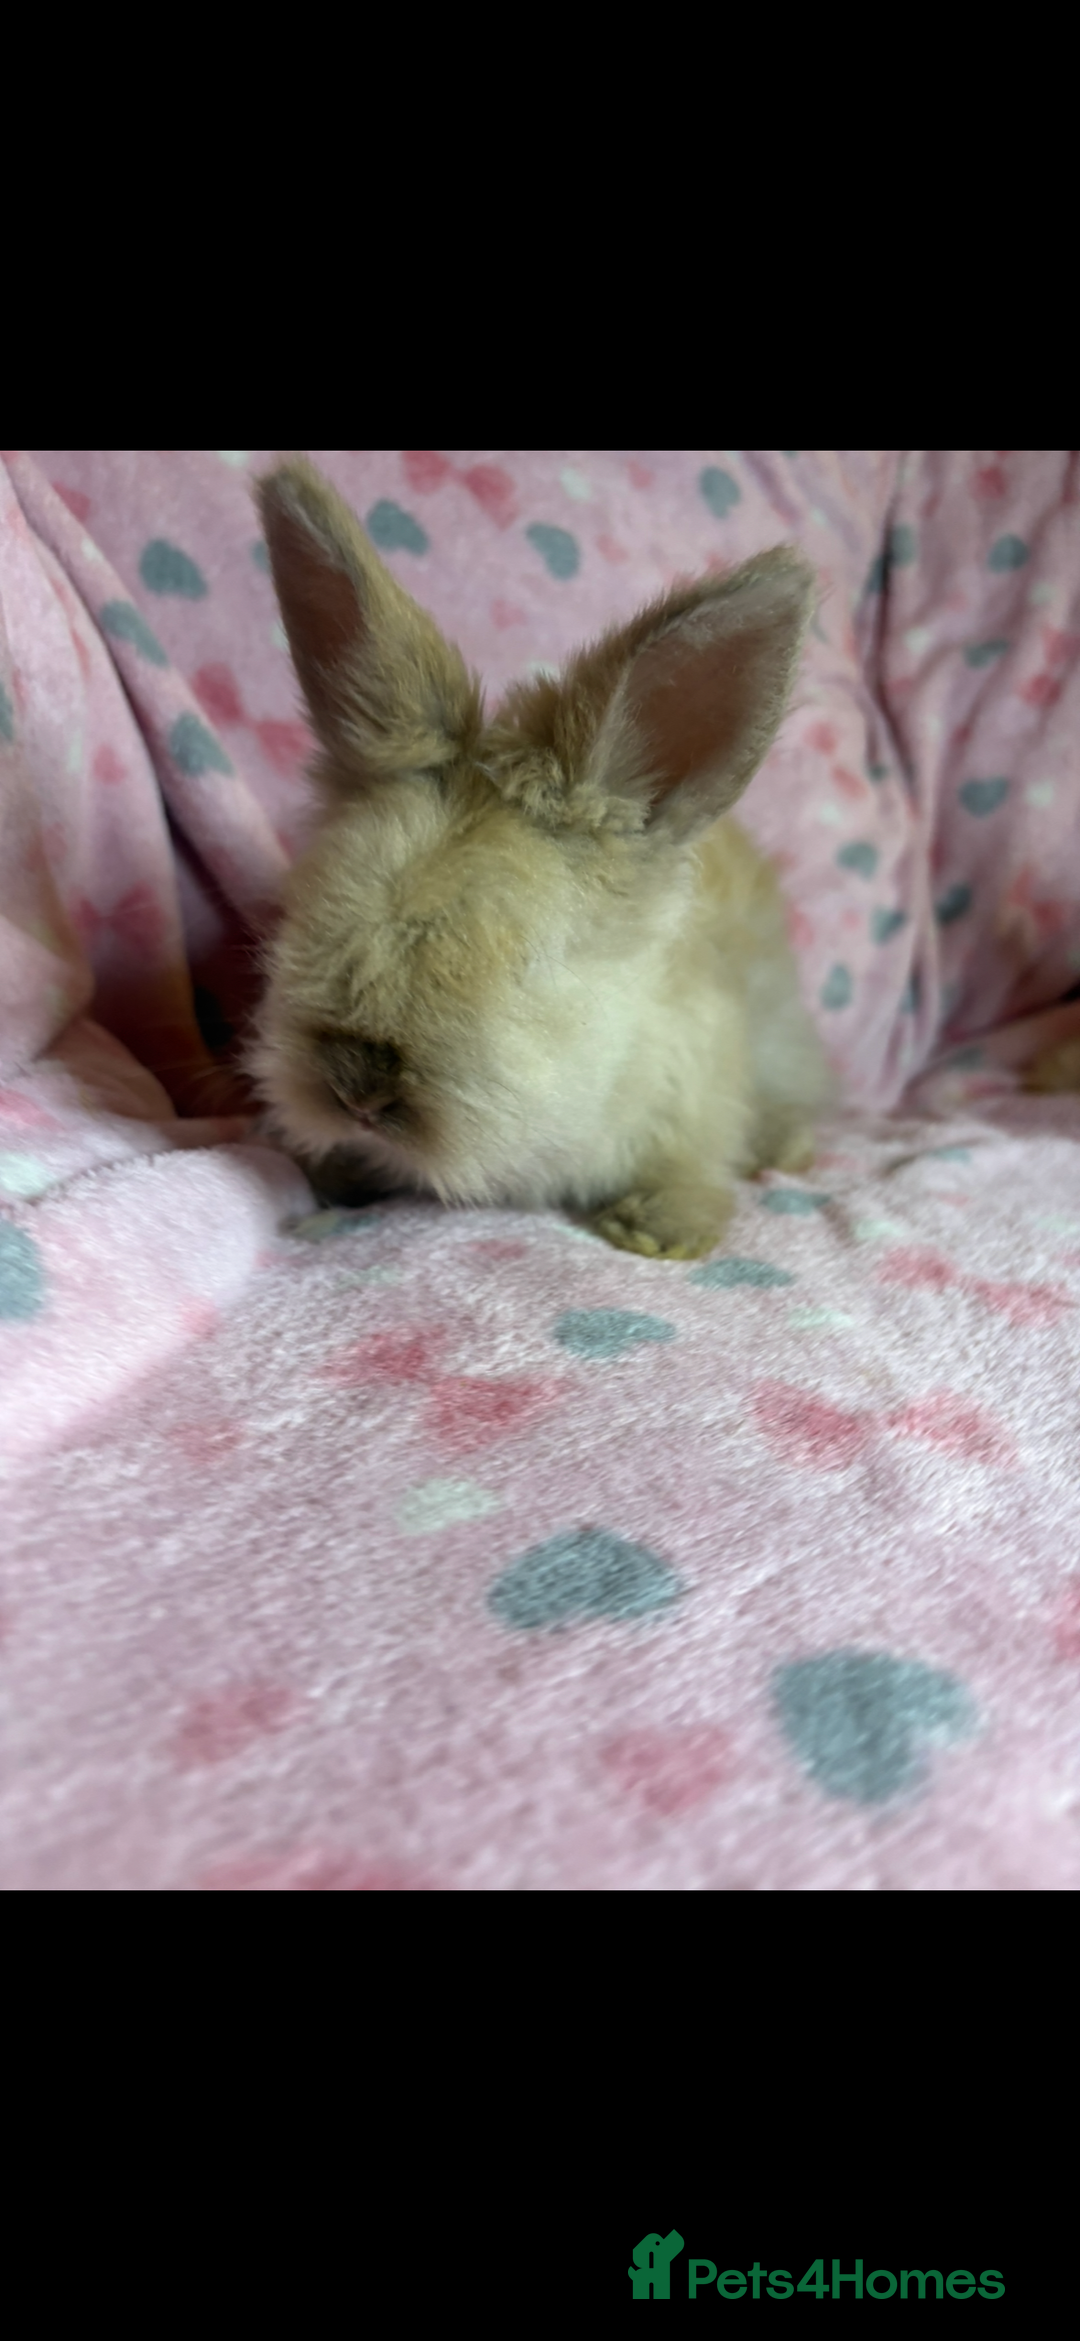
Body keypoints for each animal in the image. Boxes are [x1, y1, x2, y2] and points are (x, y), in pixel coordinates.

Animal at [249, 457, 833, 1260]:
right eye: (305, 920)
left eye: (525, 965)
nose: (356, 1090)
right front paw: (332, 1185)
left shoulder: (702, 1086)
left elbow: (689, 1167)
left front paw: (657, 1232)